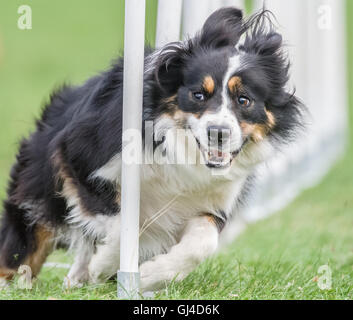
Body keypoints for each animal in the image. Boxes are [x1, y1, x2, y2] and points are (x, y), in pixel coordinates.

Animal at [0, 8, 302, 292]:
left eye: (244, 100)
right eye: (198, 95)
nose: (218, 133)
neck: (179, 150)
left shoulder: (213, 199)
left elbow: (203, 243)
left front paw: (150, 276)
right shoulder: (78, 155)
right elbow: (123, 224)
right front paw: (104, 265)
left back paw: (79, 276)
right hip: (41, 190)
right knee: (25, 242)